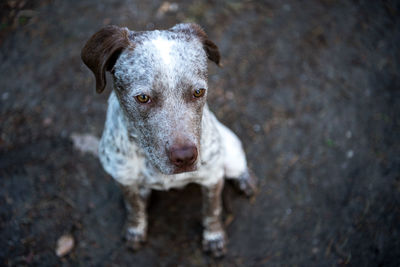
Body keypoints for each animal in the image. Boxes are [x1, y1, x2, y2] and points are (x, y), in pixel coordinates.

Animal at [81, 23, 256, 258]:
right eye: (143, 98)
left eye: (198, 92)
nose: (185, 157)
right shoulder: (124, 179)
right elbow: (133, 208)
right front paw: (135, 229)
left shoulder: (211, 177)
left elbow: (212, 210)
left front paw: (214, 237)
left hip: (229, 151)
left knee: (237, 167)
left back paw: (245, 180)